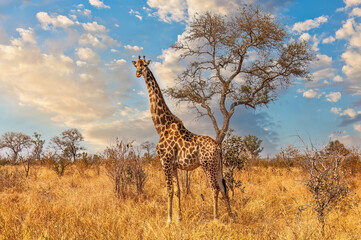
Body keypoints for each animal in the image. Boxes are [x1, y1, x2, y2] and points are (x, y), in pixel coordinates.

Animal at [131, 56, 231, 223]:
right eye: (136, 65)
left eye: (144, 65)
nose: (138, 73)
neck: (161, 126)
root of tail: (218, 147)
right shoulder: (174, 165)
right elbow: (178, 190)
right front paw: (178, 218)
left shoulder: (165, 161)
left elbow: (169, 190)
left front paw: (168, 220)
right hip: (217, 166)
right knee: (224, 187)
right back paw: (232, 216)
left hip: (208, 165)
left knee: (214, 188)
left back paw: (216, 218)